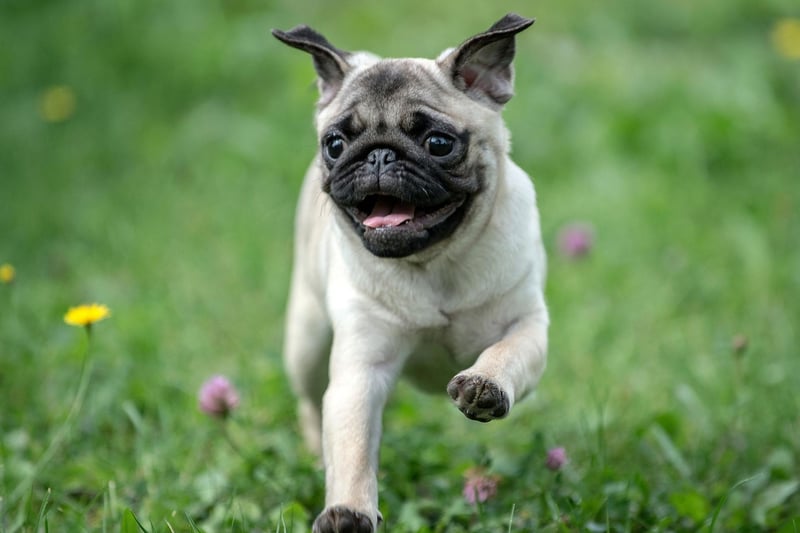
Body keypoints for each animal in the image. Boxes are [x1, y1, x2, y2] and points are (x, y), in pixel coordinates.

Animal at [272, 13, 548, 532]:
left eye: (438, 143)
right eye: (335, 144)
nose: (378, 154)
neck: (435, 263)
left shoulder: (527, 324)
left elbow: (508, 352)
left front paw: (485, 384)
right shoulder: (361, 371)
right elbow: (353, 448)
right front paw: (348, 511)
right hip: (306, 342)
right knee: (310, 406)